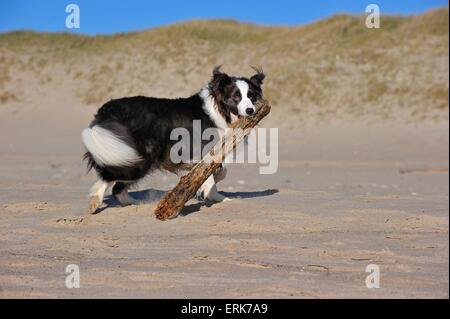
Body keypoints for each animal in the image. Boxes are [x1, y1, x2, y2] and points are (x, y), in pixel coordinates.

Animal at [81, 66, 264, 214]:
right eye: (236, 96)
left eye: (251, 96)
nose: (251, 110)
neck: (220, 109)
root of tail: (107, 110)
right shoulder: (201, 149)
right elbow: (209, 171)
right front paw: (212, 192)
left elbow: (219, 170)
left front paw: (216, 194)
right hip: (137, 157)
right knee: (109, 177)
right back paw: (95, 201)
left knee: (118, 188)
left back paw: (135, 203)